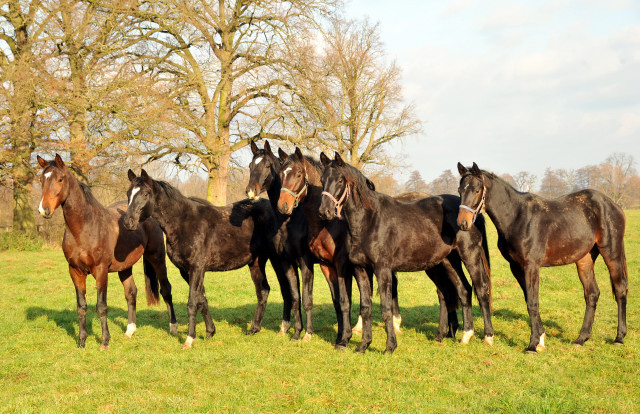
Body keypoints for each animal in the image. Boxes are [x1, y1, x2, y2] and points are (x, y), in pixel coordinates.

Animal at [37, 154, 178, 348]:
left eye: (60, 179)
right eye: (41, 179)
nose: (44, 210)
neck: (85, 228)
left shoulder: (101, 270)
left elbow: (101, 306)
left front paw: (104, 341)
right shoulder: (75, 271)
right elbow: (81, 306)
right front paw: (82, 340)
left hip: (157, 258)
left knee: (166, 289)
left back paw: (173, 327)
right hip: (124, 267)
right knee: (131, 292)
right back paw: (130, 330)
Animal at [125, 169, 302, 350]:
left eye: (145, 194)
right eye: (128, 193)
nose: (128, 222)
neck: (183, 223)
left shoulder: (196, 269)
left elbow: (192, 303)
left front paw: (189, 339)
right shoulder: (187, 271)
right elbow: (202, 299)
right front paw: (210, 332)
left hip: (278, 260)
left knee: (286, 290)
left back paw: (284, 328)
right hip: (256, 262)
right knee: (263, 291)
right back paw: (254, 329)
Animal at [278, 147, 462, 350]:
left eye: (298, 174)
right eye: (281, 174)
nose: (283, 206)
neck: (327, 225)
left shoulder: (343, 265)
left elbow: (345, 301)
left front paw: (345, 338)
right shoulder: (328, 265)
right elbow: (339, 302)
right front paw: (342, 338)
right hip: (437, 264)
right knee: (445, 293)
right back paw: (445, 333)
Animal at [320, 152, 496, 352]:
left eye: (340, 180)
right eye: (322, 180)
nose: (324, 211)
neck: (369, 221)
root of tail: (473, 214)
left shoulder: (382, 270)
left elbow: (386, 308)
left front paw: (390, 346)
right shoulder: (360, 270)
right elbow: (365, 308)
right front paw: (363, 345)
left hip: (470, 256)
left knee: (481, 290)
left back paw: (488, 337)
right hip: (448, 261)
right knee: (464, 290)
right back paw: (465, 335)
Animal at [458, 162, 628, 352]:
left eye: (477, 190)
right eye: (460, 190)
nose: (463, 223)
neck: (517, 217)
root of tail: (613, 205)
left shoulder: (531, 265)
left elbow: (532, 302)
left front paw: (532, 345)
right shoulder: (516, 267)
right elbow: (529, 299)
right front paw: (540, 339)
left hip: (611, 252)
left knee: (620, 289)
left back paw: (619, 337)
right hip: (585, 259)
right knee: (592, 293)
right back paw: (581, 338)